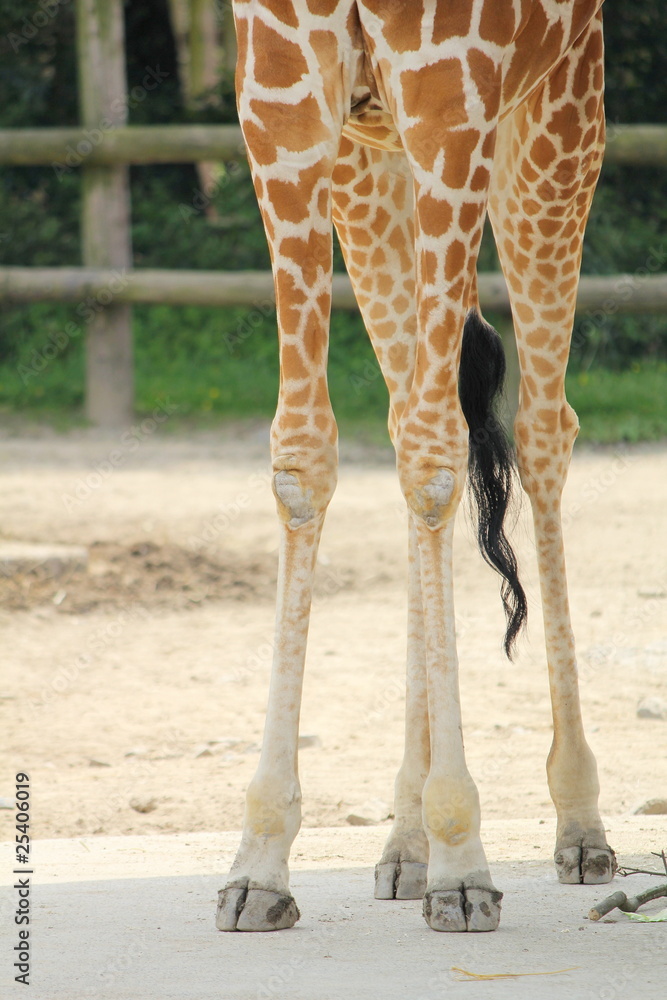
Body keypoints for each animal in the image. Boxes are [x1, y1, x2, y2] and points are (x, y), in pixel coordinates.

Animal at [217, 0, 615, 933]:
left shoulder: (452, 89)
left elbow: (438, 455)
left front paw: (462, 863)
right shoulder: (282, 89)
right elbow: (304, 453)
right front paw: (259, 863)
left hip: (555, 119)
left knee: (540, 433)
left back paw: (578, 826)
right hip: (372, 157)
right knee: (409, 414)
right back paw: (402, 845)